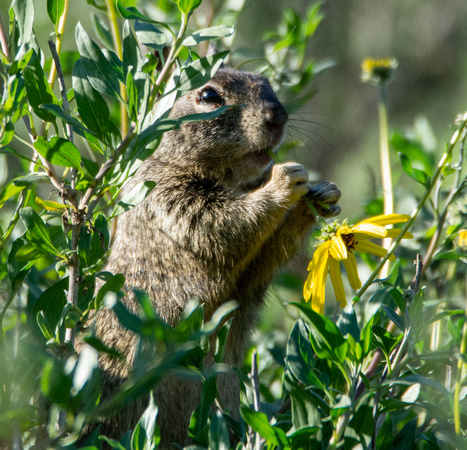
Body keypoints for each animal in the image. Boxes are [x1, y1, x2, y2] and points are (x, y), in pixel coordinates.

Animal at [93, 67, 342, 446]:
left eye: (267, 84)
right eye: (209, 96)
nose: (278, 116)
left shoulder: (248, 279)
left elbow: (261, 257)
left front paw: (320, 195)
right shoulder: (170, 197)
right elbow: (224, 226)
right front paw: (284, 179)